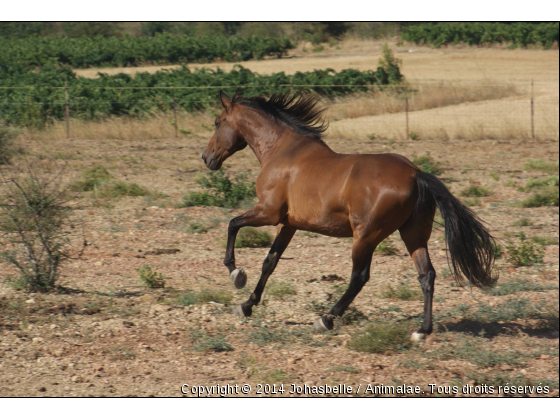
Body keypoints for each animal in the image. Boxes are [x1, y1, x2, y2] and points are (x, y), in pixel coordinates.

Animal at [202, 90, 498, 340]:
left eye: (217, 122)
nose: (206, 158)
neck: (281, 150)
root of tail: (416, 174)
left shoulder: (268, 212)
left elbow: (232, 225)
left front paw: (236, 274)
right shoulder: (288, 224)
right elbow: (269, 262)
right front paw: (246, 305)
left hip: (366, 235)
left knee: (360, 277)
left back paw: (326, 319)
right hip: (413, 234)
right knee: (426, 275)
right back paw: (422, 331)